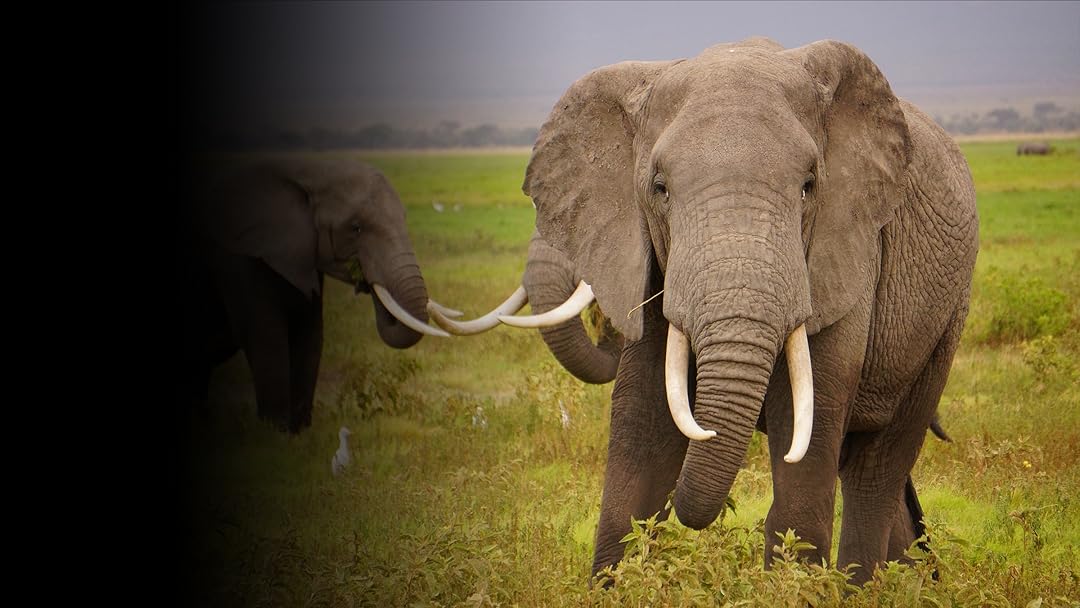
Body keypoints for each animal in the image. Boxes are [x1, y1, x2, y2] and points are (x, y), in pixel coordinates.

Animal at [180, 157, 448, 433]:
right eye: (356, 228)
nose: (366, 280)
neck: (309, 171)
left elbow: (310, 334)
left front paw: (298, 434)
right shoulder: (238, 257)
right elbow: (265, 337)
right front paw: (274, 434)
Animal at [515, 37, 978, 585]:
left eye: (809, 186)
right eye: (659, 188)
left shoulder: (847, 247)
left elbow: (808, 427)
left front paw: (794, 583)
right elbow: (643, 426)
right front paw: (615, 584)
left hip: (949, 312)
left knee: (879, 466)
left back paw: (867, 586)